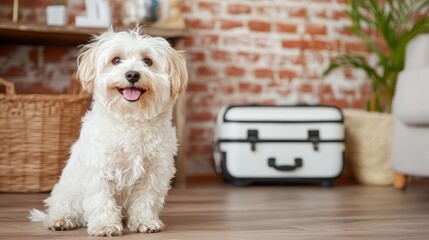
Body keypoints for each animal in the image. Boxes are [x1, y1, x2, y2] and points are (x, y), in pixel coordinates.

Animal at [28, 27, 186, 236]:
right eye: (116, 60)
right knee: (62, 209)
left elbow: (146, 200)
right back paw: (60, 220)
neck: (131, 120)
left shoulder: (154, 172)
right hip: (67, 193)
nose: (132, 75)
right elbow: (101, 200)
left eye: (148, 61)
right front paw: (105, 226)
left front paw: (145, 222)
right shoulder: (99, 170)